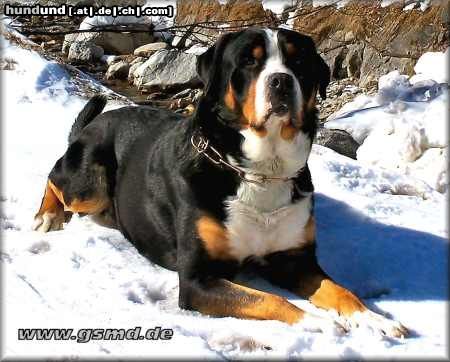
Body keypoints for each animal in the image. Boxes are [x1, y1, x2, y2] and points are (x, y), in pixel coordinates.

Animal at [33, 26, 408, 338]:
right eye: (248, 61)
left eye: (298, 61)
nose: (282, 81)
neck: (260, 171)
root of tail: (95, 123)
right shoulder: (199, 280)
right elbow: (269, 299)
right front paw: (315, 322)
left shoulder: (296, 260)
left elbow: (340, 290)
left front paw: (373, 319)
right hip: (90, 183)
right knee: (55, 177)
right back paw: (48, 215)